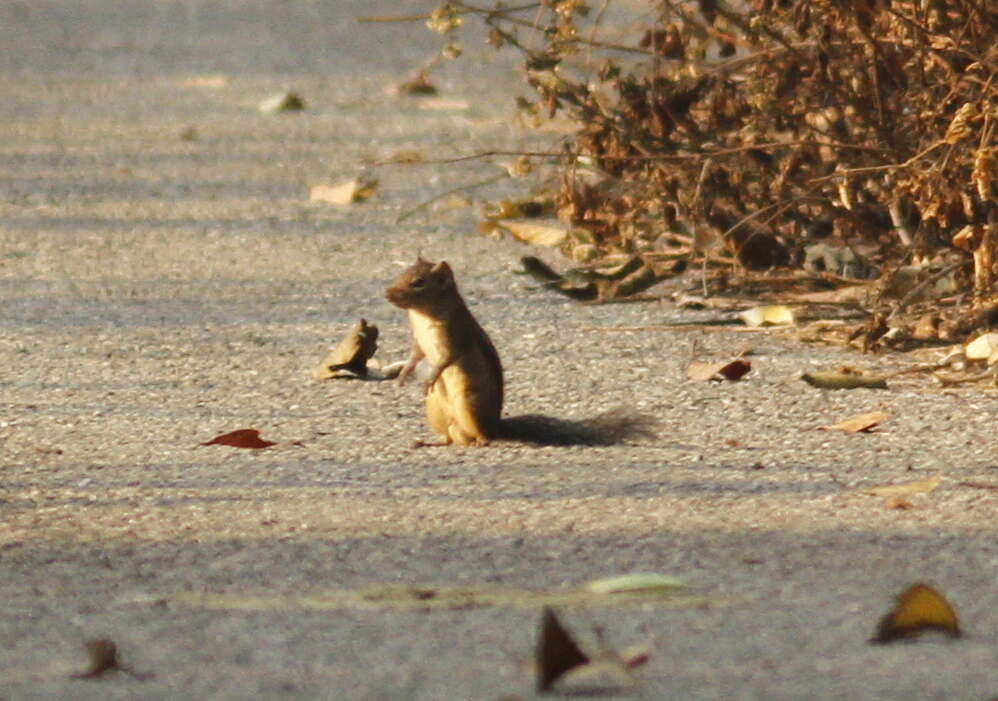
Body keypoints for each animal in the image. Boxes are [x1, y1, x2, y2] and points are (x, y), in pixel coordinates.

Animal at [384, 256, 656, 442]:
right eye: (400, 274)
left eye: (418, 283)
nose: (387, 293)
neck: (421, 315)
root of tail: (497, 425)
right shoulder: (419, 341)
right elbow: (415, 356)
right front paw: (403, 376)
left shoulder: (454, 334)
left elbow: (445, 360)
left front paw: (429, 377)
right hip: (436, 413)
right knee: (454, 438)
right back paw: (432, 443)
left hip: (469, 405)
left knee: (482, 436)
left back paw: (481, 441)